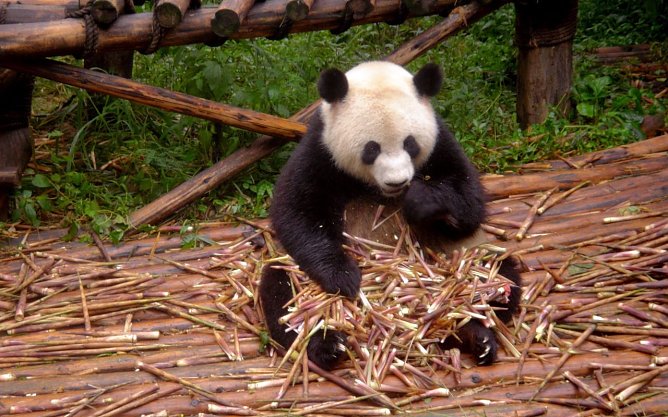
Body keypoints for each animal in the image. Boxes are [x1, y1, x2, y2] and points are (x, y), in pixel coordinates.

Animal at [259, 61, 521, 371]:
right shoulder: (320, 150)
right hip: (294, 275)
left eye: (411, 144)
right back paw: (327, 345)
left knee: (499, 278)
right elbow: (297, 211)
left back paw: (474, 334)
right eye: (371, 149)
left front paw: (421, 201)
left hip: (469, 256)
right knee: (282, 294)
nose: (398, 182)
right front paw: (344, 277)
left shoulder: (441, 142)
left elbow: (469, 202)